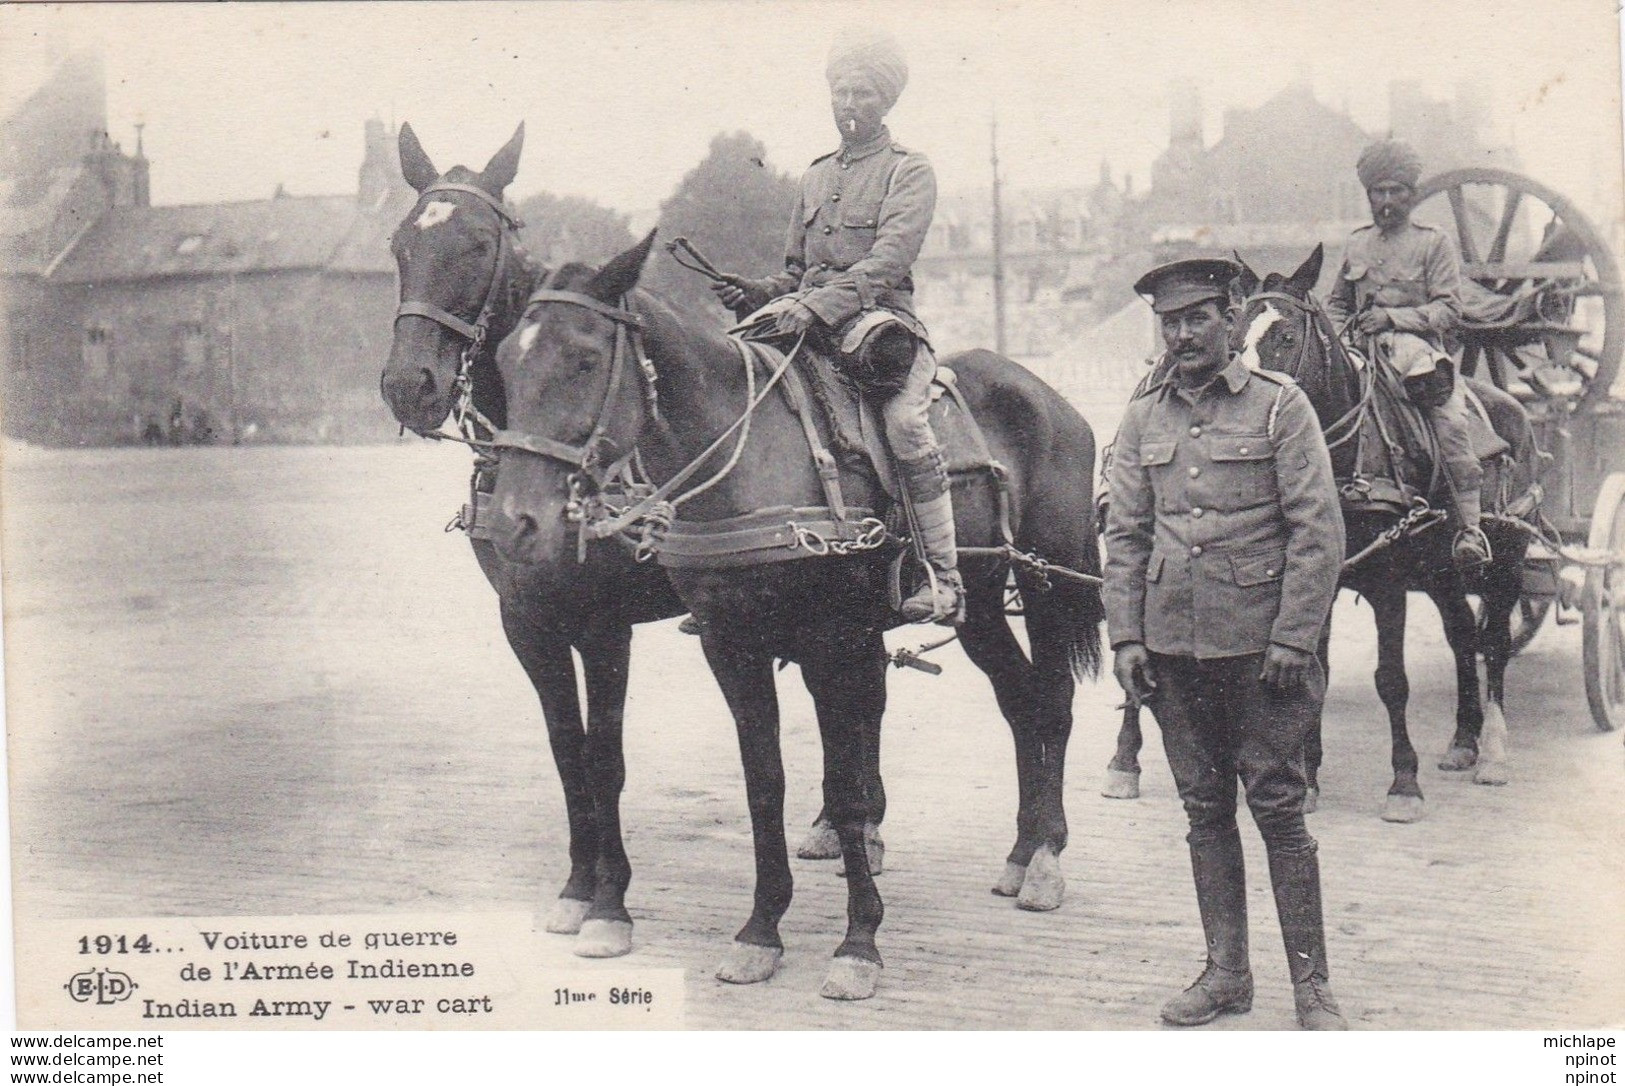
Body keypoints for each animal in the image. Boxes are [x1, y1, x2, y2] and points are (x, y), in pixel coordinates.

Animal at [378, 125, 685, 955]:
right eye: (399, 244)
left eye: (478, 242)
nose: (408, 384)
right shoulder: (526, 620)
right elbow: (565, 750)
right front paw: (578, 886)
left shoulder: (605, 624)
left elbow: (604, 756)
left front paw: (610, 904)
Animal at [490, 234, 1105, 994]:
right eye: (506, 359)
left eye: (581, 357)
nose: (514, 520)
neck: (747, 455)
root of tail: (1049, 398)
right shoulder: (730, 647)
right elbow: (765, 784)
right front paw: (760, 931)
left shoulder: (833, 645)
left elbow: (845, 790)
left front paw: (858, 943)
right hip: (982, 604)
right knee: (1020, 703)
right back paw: (1022, 852)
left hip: (1048, 586)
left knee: (1053, 702)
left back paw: (1046, 861)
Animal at [1105, 245, 1534, 822]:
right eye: (1236, 330)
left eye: (1286, 336)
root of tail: (1513, 407)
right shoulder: (1314, 580)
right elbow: (1314, 671)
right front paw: (1307, 778)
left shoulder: (1387, 582)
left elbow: (1390, 680)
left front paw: (1403, 784)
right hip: (1441, 572)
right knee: (1463, 635)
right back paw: (1463, 741)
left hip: (1506, 562)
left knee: (1494, 643)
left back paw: (1492, 753)